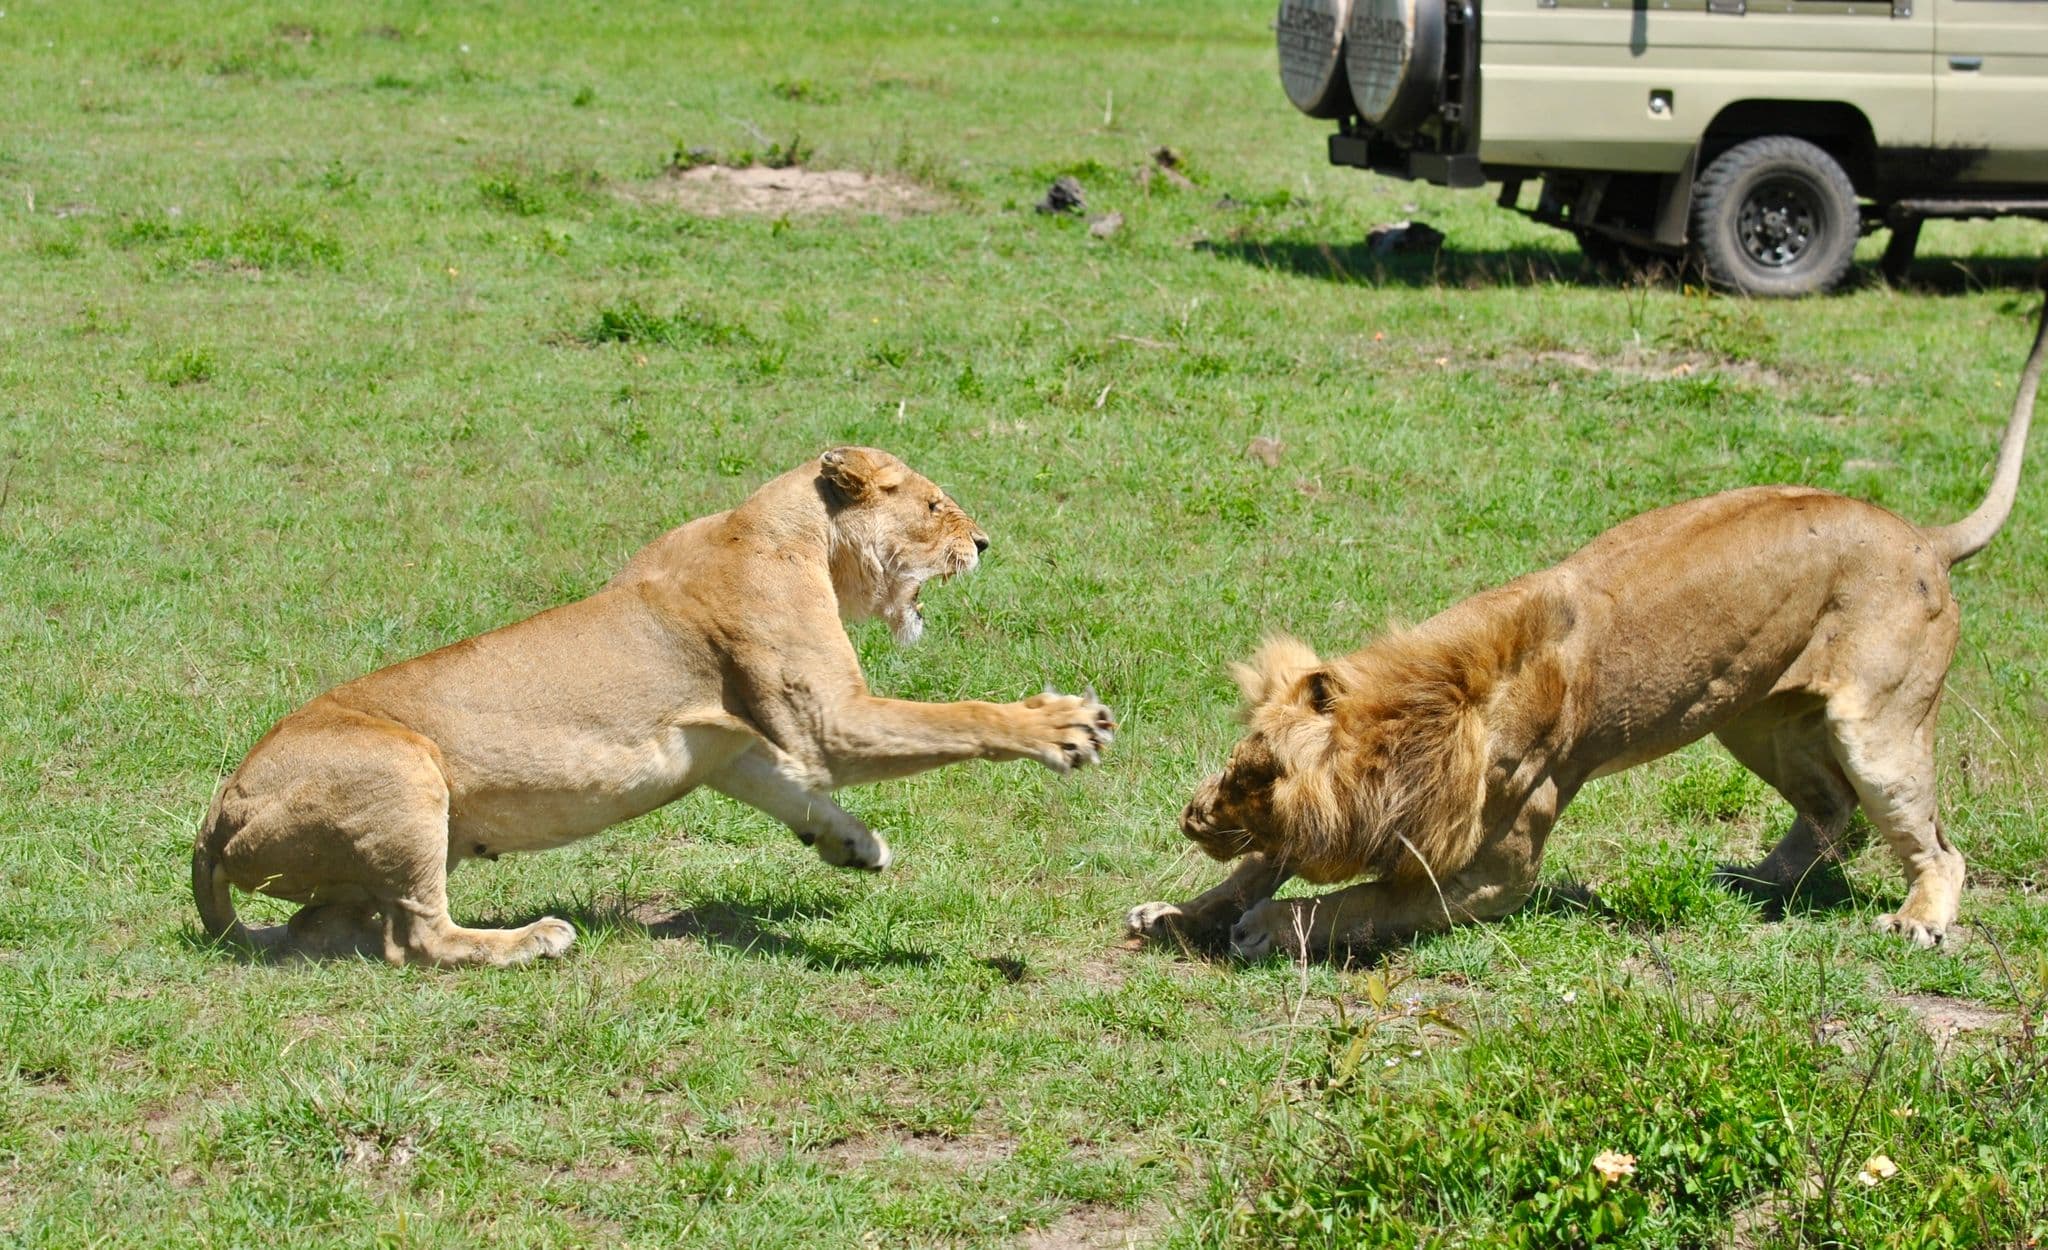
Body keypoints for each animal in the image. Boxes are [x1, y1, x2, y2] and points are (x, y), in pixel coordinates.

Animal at [193, 447, 1115, 967]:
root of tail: (214, 814)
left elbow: (793, 794)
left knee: (336, 932)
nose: (984, 543)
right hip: (404, 770)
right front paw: (1058, 724)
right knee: (417, 939)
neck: (783, 529)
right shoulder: (829, 720)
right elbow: (957, 716)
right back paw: (533, 941)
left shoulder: (729, 745)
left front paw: (855, 844)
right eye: (932, 506)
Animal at [1130, 286, 2048, 962]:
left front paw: (1268, 927)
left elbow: (1355, 898)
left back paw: (1918, 919)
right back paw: (1753, 883)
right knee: (1830, 809)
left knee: (1934, 843)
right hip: (1754, 720)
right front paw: (1180, 912)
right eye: (1242, 761)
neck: (1442, 698)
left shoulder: (1489, 877)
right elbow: (1266, 864)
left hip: (1878, 726)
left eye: (1258, 780)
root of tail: (1925, 535)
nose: (1190, 819)